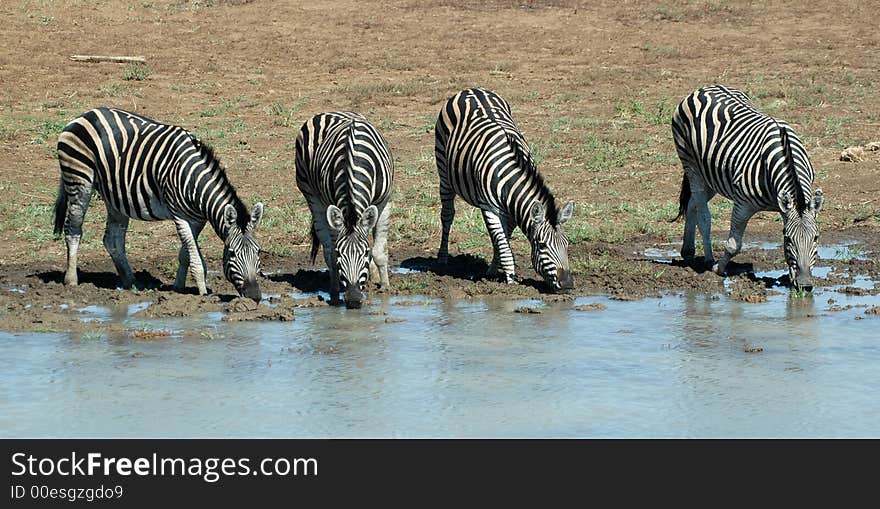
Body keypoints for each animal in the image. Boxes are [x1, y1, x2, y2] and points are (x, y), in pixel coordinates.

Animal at [54, 105, 264, 300]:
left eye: (258, 252)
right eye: (232, 254)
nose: (254, 295)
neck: (194, 179)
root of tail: (85, 114)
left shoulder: (197, 220)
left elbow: (185, 255)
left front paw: (178, 287)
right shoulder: (180, 216)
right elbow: (196, 259)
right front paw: (203, 294)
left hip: (114, 195)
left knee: (113, 239)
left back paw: (131, 283)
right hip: (79, 180)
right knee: (73, 229)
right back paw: (71, 281)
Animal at [294, 111, 394, 310]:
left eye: (365, 253)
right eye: (341, 254)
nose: (354, 300)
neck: (354, 162)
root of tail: (327, 112)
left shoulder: (384, 201)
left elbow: (379, 251)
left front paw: (385, 288)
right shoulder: (331, 204)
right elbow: (332, 255)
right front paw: (334, 295)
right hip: (311, 195)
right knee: (325, 244)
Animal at [434, 88, 576, 290]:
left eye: (567, 243)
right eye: (541, 245)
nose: (567, 284)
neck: (510, 179)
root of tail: (471, 89)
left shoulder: (513, 213)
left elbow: (502, 239)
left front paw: (494, 269)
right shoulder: (490, 208)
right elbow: (502, 242)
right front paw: (510, 280)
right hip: (444, 174)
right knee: (447, 215)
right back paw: (442, 258)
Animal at [672, 83, 824, 290]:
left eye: (816, 237)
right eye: (787, 238)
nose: (805, 285)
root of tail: (704, 88)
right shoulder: (743, 204)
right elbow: (733, 245)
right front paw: (719, 269)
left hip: (710, 175)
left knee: (692, 203)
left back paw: (688, 251)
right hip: (691, 165)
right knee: (703, 215)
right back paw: (709, 259)